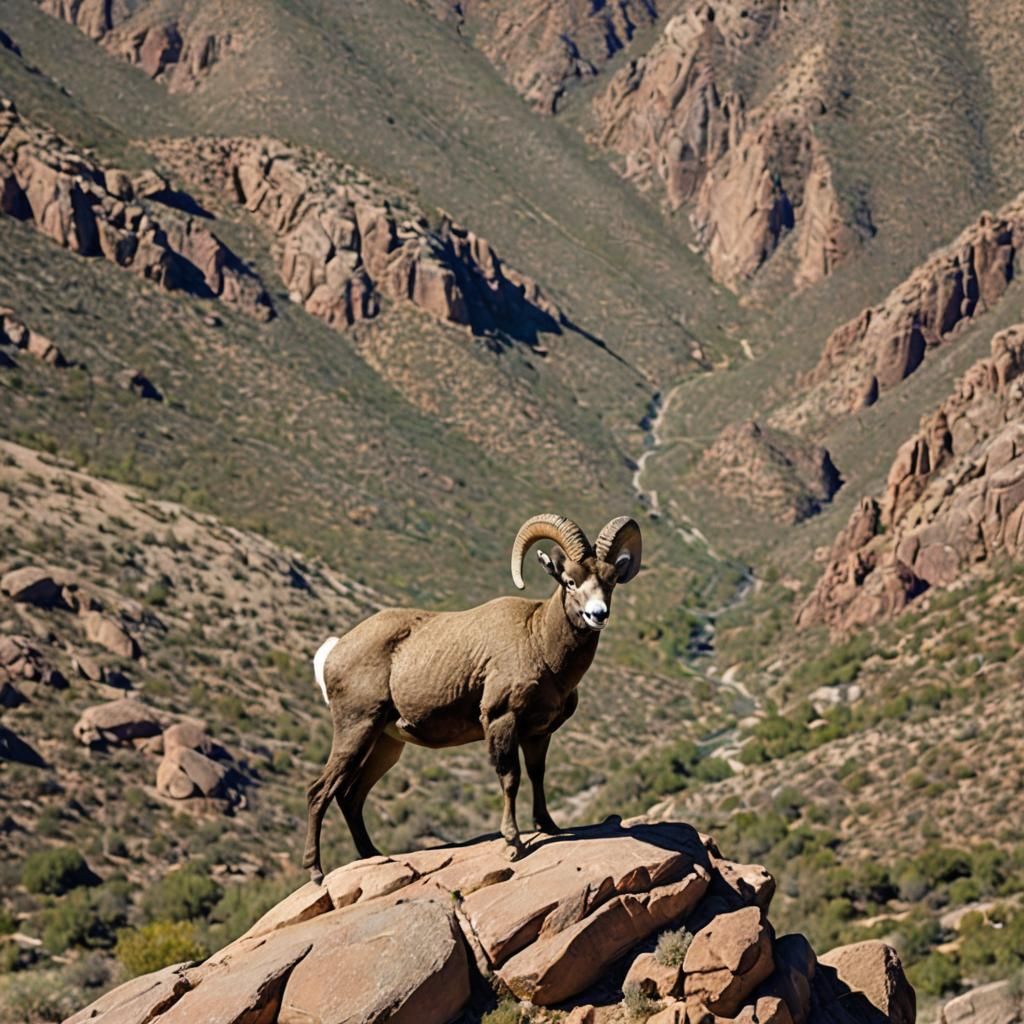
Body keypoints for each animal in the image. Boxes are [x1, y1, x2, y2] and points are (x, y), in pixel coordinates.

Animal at [303, 513, 642, 882]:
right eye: (569, 581)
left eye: (611, 581)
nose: (598, 614)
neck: (539, 642)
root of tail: (334, 651)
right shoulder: (501, 721)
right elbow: (510, 778)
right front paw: (513, 843)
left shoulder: (538, 733)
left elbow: (536, 775)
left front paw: (549, 826)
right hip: (356, 729)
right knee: (319, 792)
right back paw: (316, 872)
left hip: (386, 745)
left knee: (351, 797)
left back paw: (372, 855)